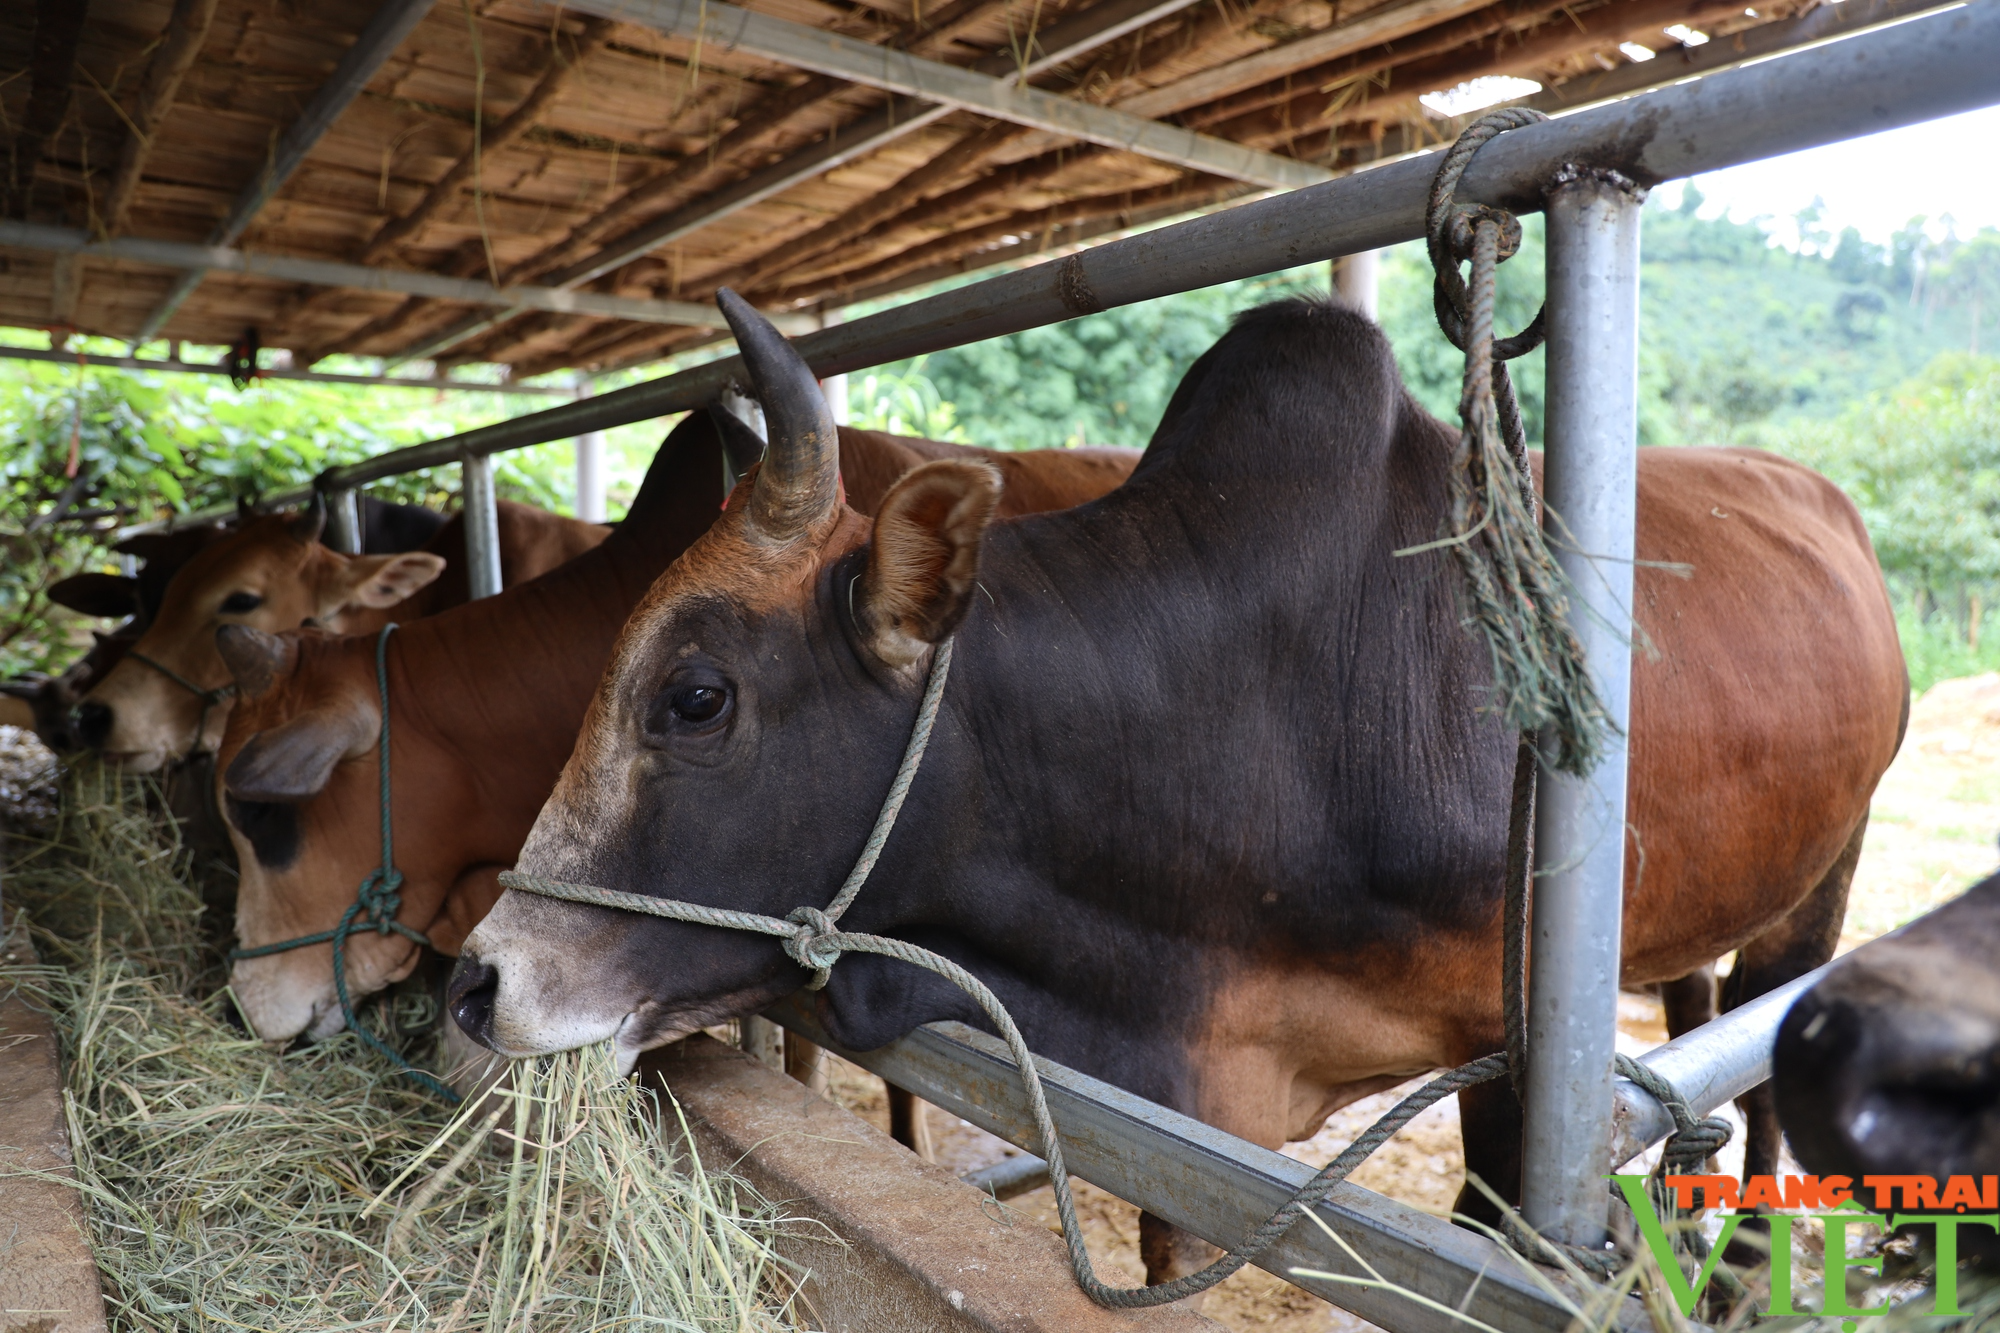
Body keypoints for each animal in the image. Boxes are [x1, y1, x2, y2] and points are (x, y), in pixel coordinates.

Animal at [450, 296, 1904, 1280]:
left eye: (696, 696)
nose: (480, 981)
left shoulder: (1513, 1061)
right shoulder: (1182, 1101)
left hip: (1820, 885)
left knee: (1761, 1075)